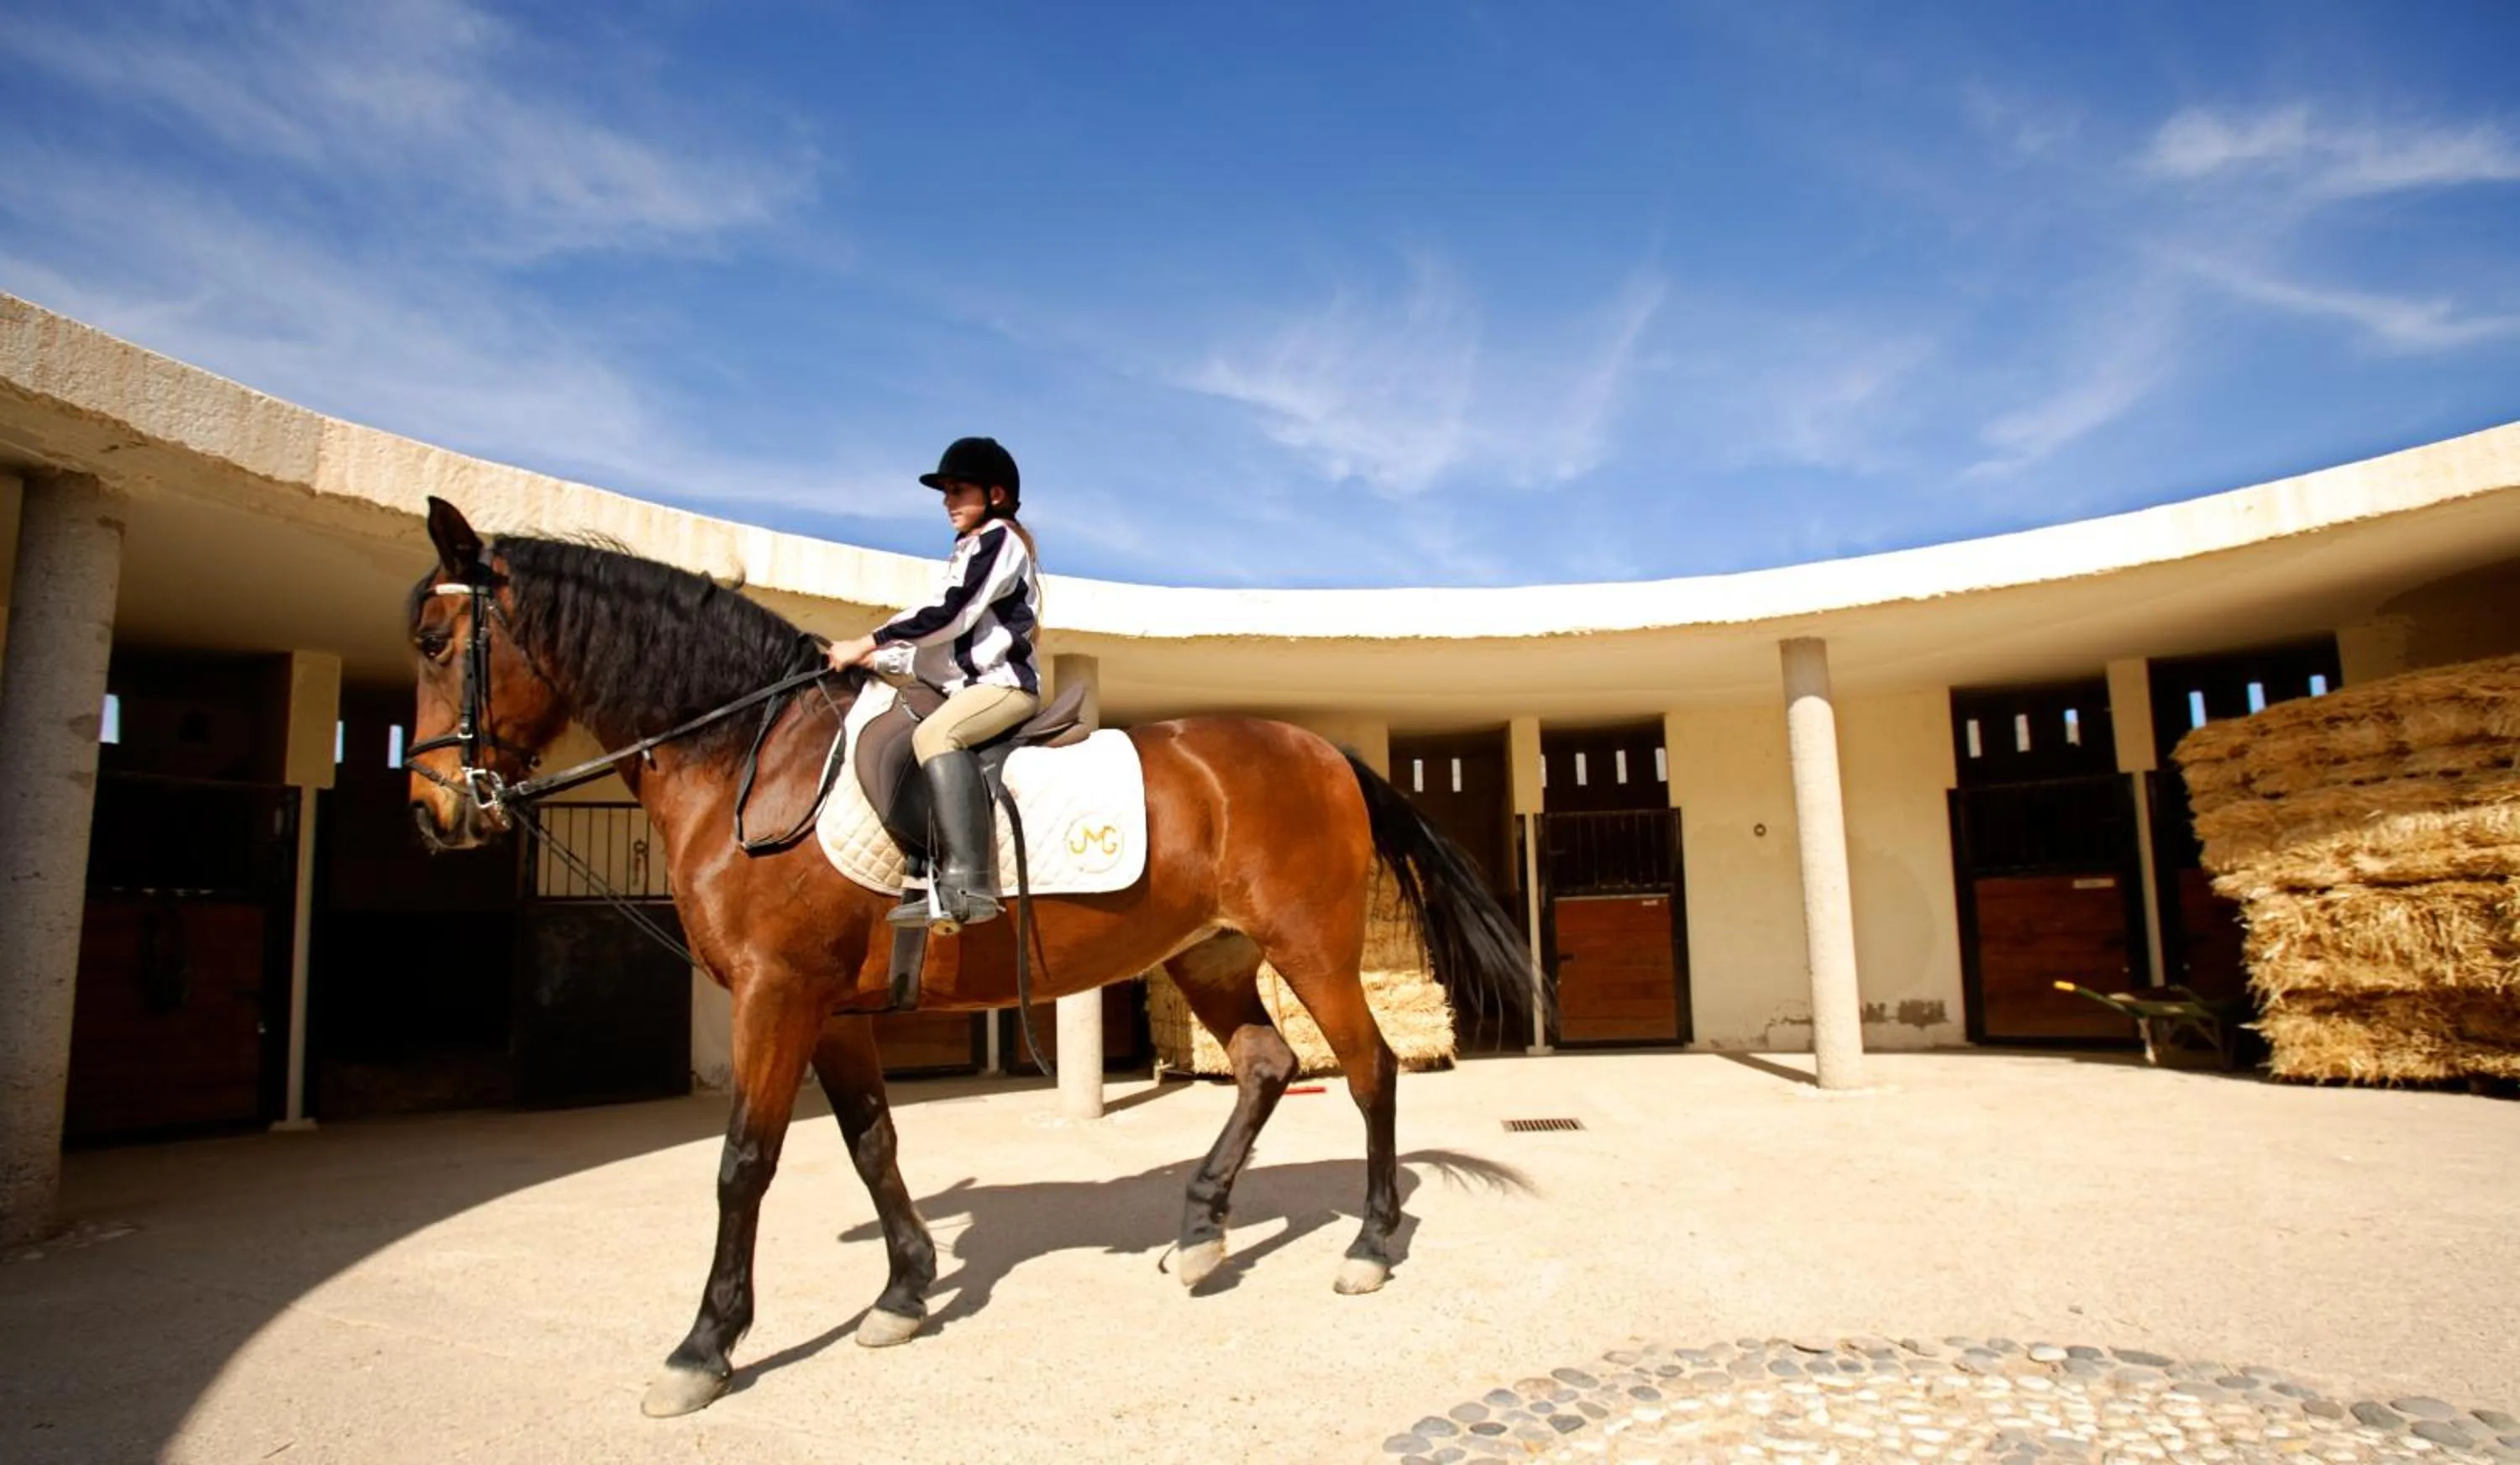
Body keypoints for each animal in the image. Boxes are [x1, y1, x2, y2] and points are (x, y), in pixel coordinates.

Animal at [401, 499, 1536, 1417]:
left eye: (434, 639)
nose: (433, 812)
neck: (751, 760)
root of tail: (1321, 749)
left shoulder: (778, 996)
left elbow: (743, 1164)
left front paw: (703, 1350)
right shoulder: (832, 1012)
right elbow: (872, 1146)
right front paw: (903, 1292)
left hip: (1311, 949)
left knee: (1369, 1068)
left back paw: (1368, 1246)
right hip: (1209, 957)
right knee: (1265, 1064)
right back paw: (1201, 1234)